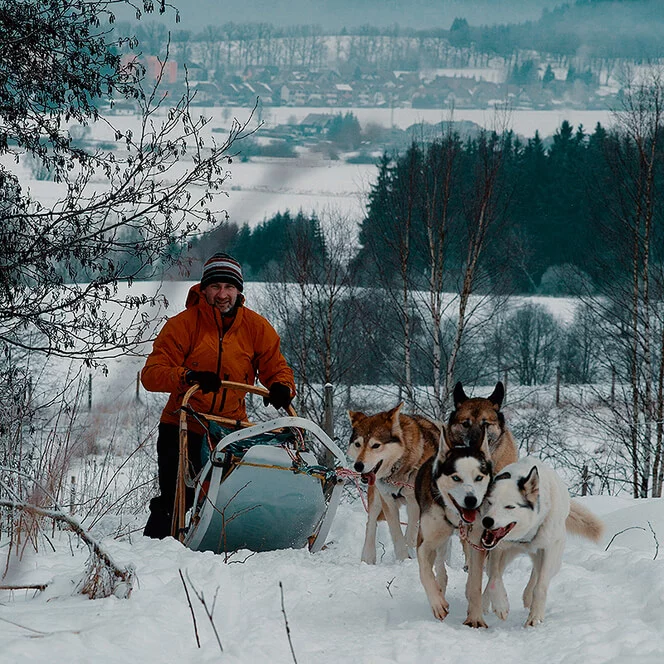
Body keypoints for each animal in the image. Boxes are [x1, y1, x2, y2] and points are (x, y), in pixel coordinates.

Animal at [348, 402, 440, 564]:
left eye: (376, 445)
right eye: (358, 444)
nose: (358, 465)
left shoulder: (414, 502)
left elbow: (410, 532)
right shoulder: (388, 501)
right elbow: (397, 534)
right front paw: (404, 558)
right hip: (376, 499)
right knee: (371, 523)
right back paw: (368, 558)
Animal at [416, 422, 492, 620]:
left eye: (479, 477)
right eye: (456, 477)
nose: (471, 500)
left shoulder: (478, 539)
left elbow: (476, 579)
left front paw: (475, 615)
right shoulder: (425, 541)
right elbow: (425, 571)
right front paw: (437, 603)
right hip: (441, 539)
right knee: (440, 566)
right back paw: (441, 586)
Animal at [464, 456, 604, 628]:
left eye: (509, 507)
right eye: (489, 502)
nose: (487, 521)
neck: (525, 536)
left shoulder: (549, 550)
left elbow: (541, 586)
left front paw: (535, 617)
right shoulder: (499, 548)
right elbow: (494, 578)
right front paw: (500, 605)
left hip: (553, 560)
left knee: (538, 572)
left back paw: (527, 596)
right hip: (509, 554)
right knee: (497, 573)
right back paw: (485, 603)